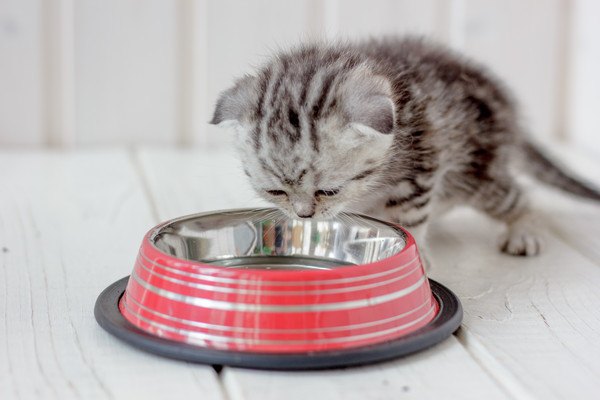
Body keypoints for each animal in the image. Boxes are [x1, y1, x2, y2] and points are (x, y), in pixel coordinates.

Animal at [211, 37, 600, 256]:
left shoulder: (421, 171)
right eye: (275, 191)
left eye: (328, 190)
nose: (303, 215)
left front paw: (417, 257)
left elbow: (409, 220)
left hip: (476, 172)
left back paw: (524, 230)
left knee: (514, 197)